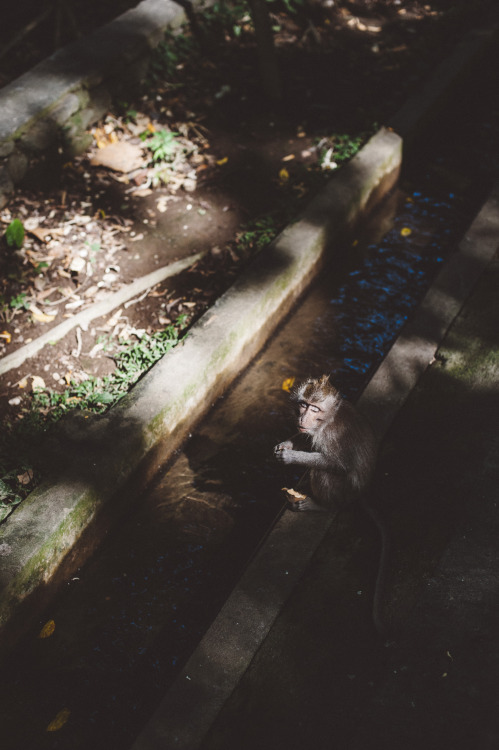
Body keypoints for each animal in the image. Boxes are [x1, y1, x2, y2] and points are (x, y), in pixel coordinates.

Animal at [276, 376, 388, 636]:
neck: (328, 419)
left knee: (322, 472)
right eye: (303, 405)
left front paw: (292, 457)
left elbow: (336, 465)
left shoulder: (329, 436)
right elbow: (305, 437)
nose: (302, 418)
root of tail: (362, 491)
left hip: (344, 491)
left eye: (315, 409)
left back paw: (320, 505)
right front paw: (286, 443)